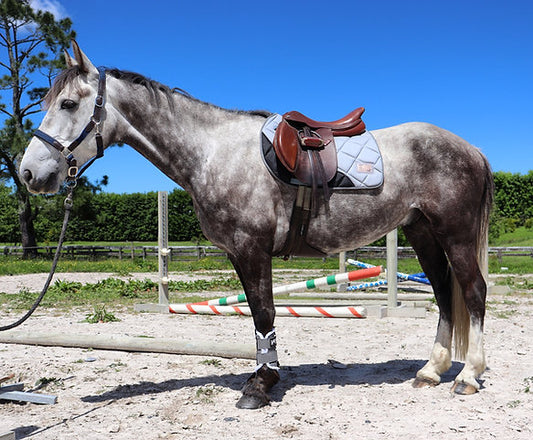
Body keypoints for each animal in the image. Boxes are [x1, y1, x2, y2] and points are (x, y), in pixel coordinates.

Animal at [18, 42, 492, 410]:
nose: (28, 174)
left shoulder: (252, 248)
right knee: (444, 293)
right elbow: (255, 313)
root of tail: (470, 149)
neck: (212, 152)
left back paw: (467, 376)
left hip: (455, 234)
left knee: (472, 292)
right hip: (423, 233)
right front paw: (265, 374)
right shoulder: (238, 253)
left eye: (68, 104)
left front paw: (260, 385)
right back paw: (430, 370)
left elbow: (264, 312)